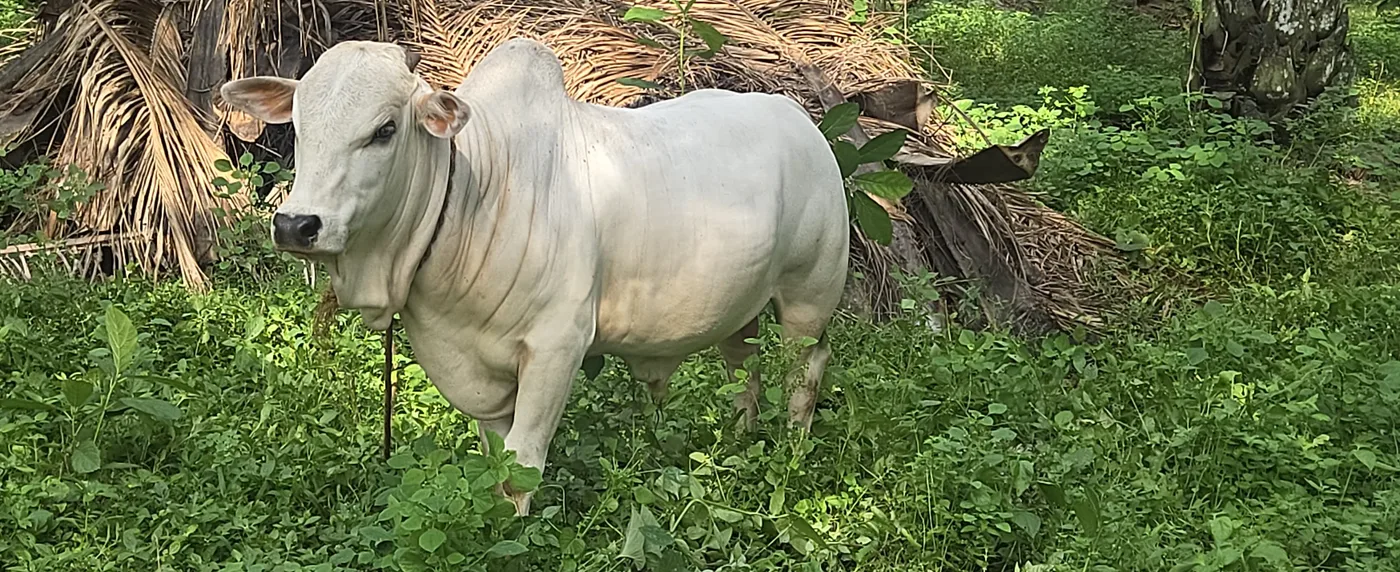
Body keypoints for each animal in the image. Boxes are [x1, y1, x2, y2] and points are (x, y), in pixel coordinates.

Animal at [219, 38, 850, 515]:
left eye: (384, 130)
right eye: (300, 126)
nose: (297, 224)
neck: (473, 194)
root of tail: (797, 116)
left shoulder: (555, 347)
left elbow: (523, 461)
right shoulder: (477, 370)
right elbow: (495, 462)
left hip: (808, 296)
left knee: (804, 371)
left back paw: (791, 454)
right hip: (741, 311)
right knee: (746, 373)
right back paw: (742, 444)